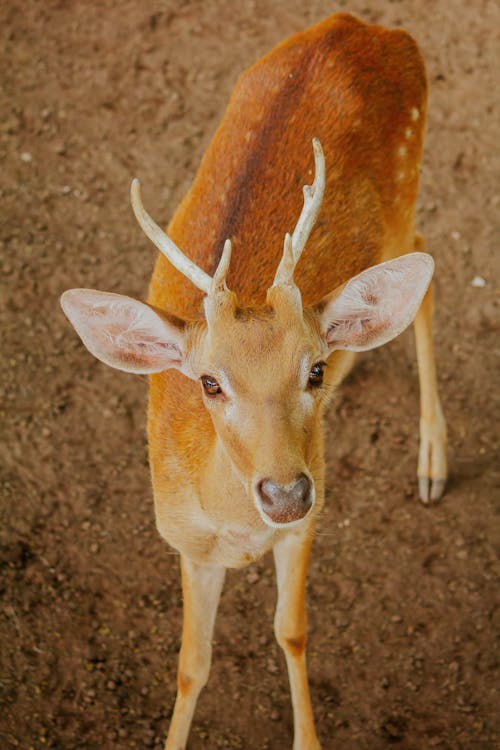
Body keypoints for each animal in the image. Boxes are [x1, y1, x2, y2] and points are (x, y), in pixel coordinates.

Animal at [60, 11, 448, 750]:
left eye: (312, 369)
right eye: (210, 383)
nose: (287, 491)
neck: (237, 532)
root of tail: (360, 23)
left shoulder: (306, 526)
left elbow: (291, 631)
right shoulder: (183, 541)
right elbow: (191, 665)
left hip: (407, 184)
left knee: (427, 267)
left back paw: (433, 463)